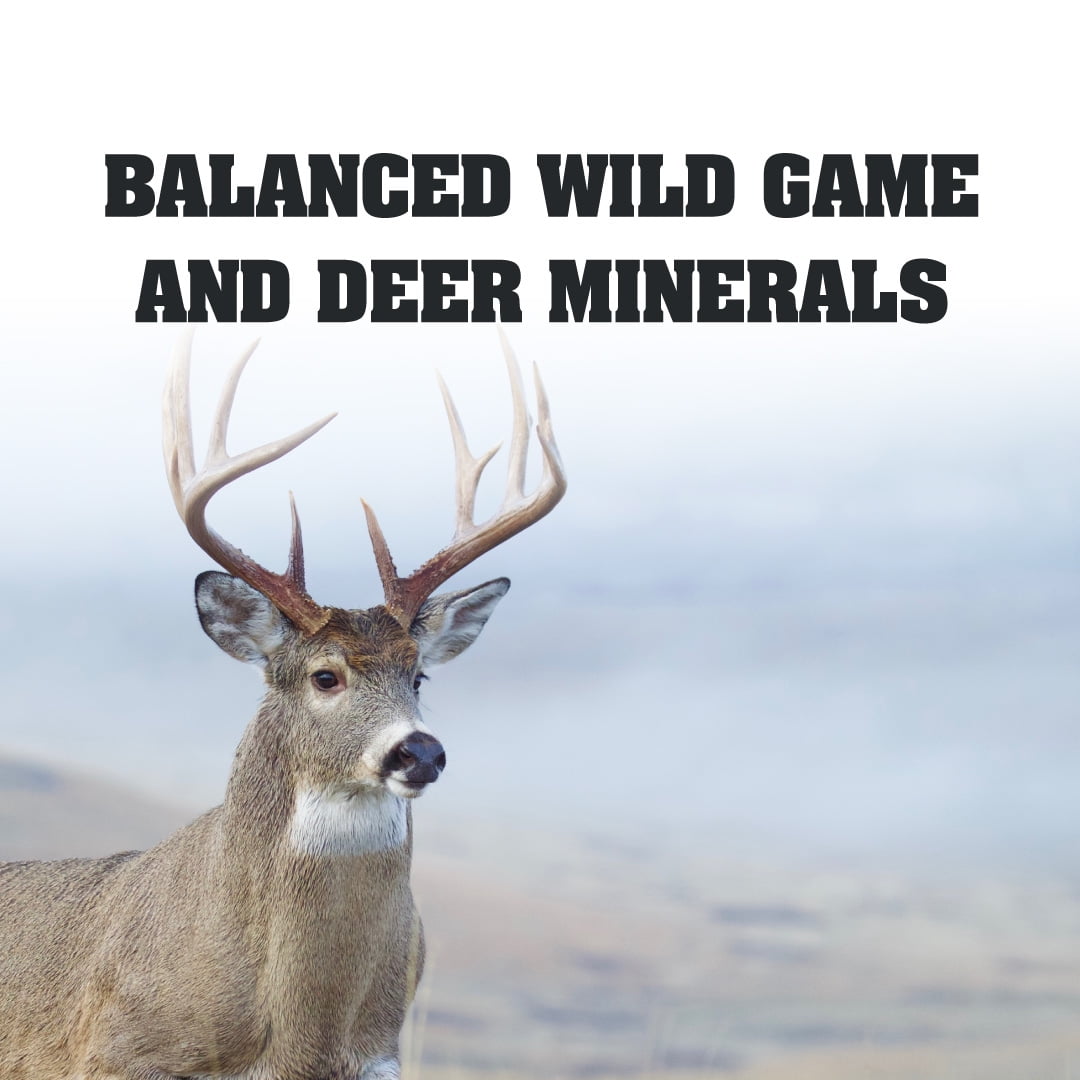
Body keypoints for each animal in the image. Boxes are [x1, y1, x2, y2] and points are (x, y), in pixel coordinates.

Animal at [0, 331, 565, 1080]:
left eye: (419, 676)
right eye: (325, 677)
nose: (419, 751)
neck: (302, 1036)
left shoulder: (378, 1057)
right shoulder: (116, 1051)